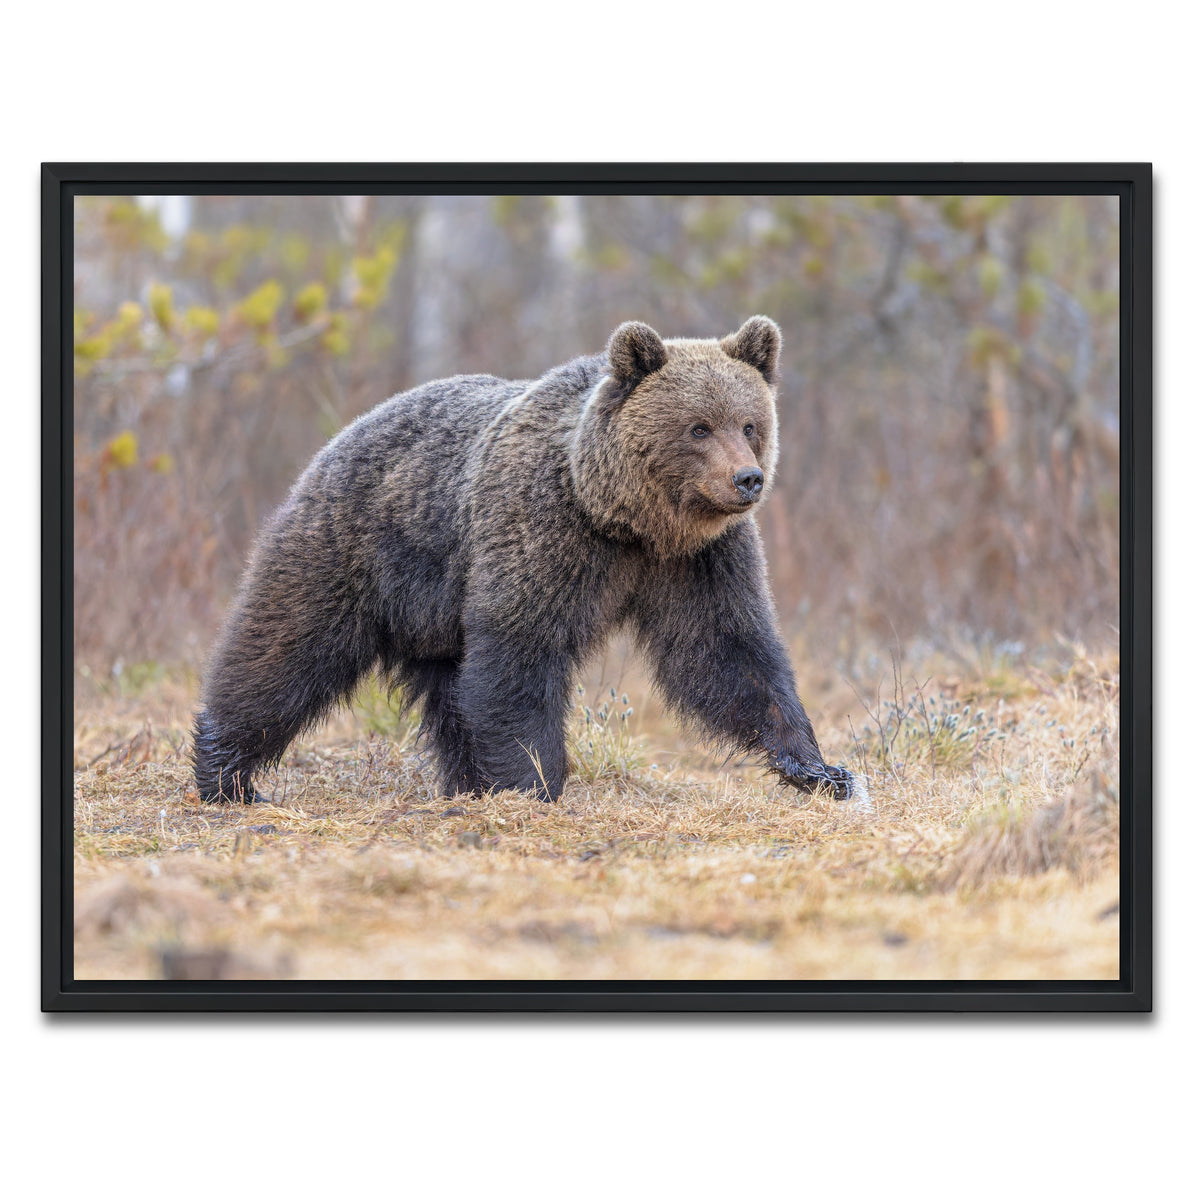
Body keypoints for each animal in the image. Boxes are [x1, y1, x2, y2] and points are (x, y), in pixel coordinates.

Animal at [192, 316, 859, 805]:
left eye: (750, 424)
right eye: (698, 427)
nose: (746, 479)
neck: (625, 518)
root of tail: (344, 433)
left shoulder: (701, 559)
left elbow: (728, 650)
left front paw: (819, 768)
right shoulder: (543, 530)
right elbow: (521, 650)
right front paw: (534, 782)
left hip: (436, 616)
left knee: (451, 693)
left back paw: (464, 783)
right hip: (354, 549)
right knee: (284, 649)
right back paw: (227, 773)